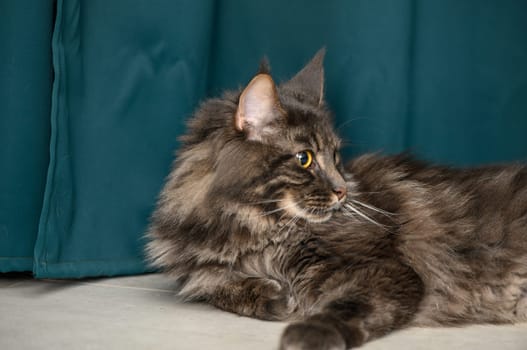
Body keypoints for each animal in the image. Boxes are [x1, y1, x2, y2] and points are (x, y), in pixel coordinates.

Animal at [145, 50, 527, 350]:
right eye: (305, 159)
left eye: (336, 156)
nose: (342, 189)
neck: (255, 230)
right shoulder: (203, 274)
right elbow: (219, 288)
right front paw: (270, 296)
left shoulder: (384, 270)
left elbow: (345, 307)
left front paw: (308, 333)